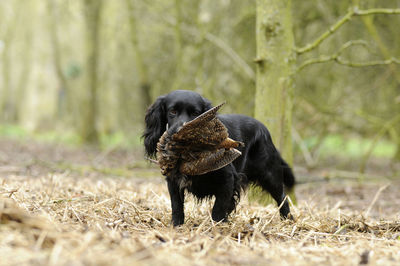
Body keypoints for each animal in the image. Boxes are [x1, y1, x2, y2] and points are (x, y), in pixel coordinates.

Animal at [142, 90, 296, 225]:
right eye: (172, 111)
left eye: (195, 113)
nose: (180, 132)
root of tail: (264, 128)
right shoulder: (173, 181)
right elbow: (176, 205)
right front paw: (176, 225)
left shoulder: (228, 179)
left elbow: (219, 208)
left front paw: (217, 227)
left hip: (269, 175)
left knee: (282, 197)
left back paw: (288, 220)